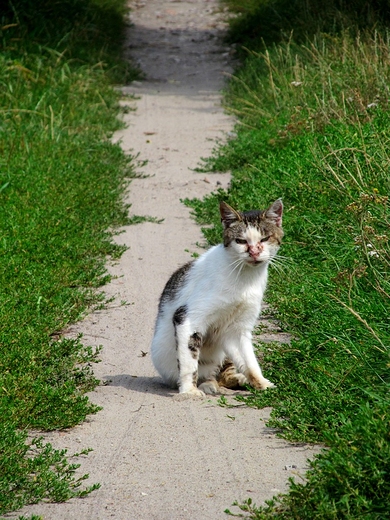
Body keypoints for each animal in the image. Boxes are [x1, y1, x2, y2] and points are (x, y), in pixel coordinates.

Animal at [150, 198, 284, 394]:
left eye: (265, 238)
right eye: (241, 241)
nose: (254, 252)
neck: (245, 278)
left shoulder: (237, 328)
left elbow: (249, 361)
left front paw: (262, 383)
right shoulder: (187, 318)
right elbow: (189, 361)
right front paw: (189, 391)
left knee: (225, 371)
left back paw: (237, 379)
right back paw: (209, 384)